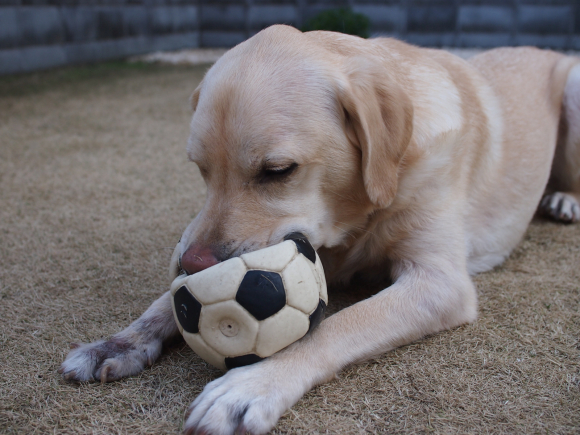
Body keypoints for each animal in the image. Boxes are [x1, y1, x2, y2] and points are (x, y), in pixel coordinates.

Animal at [60, 25, 580, 434]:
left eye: (277, 171)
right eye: (201, 170)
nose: (193, 263)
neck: (358, 214)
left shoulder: (440, 282)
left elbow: (332, 325)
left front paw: (254, 383)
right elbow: (165, 301)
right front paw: (122, 340)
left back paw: (564, 199)